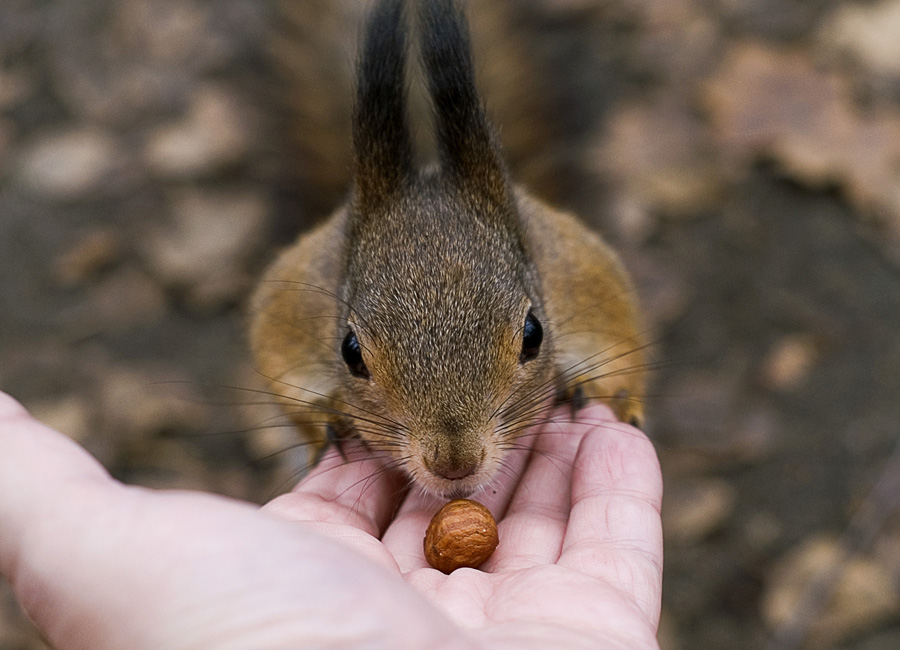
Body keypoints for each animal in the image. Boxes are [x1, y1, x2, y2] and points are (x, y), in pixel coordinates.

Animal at [250, 0, 644, 496]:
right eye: (350, 352)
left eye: (533, 333)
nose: (455, 462)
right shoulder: (291, 303)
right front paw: (329, 414)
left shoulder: (582, 273)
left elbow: (621, 347)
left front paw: (595, 387)